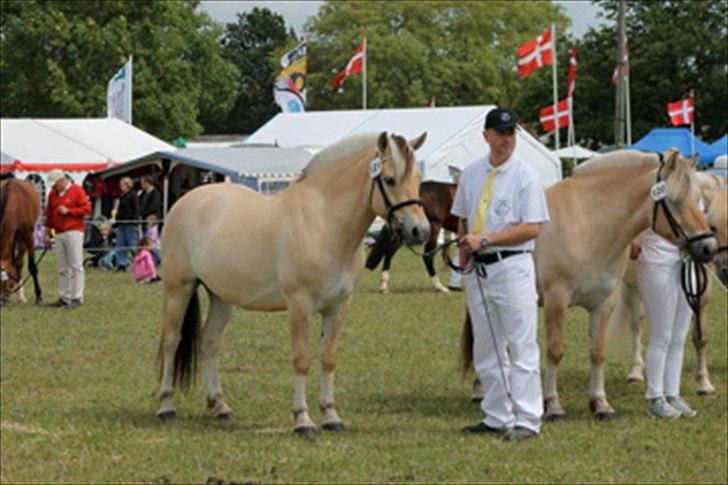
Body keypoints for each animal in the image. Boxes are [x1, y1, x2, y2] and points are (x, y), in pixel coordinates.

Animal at [0, 178, 42, 306]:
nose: (2, 302)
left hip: (21, 239)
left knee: (19, 263)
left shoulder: (28, 235)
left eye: (9, 283)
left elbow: (32, 266)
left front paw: (39, 296)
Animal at [156, 130, 430, 432]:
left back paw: (220, 407)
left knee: (210, 342)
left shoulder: (339, 306)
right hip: (178, 289)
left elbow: (328, 358)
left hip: (221, 296)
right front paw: (302, 420)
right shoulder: (299, 304)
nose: (420, 231)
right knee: (171, 340)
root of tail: (185, 202)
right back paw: (166, 407)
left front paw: (331, 417)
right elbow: (301, 359)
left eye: (418, 179)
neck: (324, 223)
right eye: (390, 179)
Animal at [616, 172, 724, 396]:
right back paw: (636, 372)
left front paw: (704, 383)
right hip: (630, 288)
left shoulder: (702, 293)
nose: (709, 250)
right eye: (715, 225)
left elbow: (700, 337)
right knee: (636, 325)